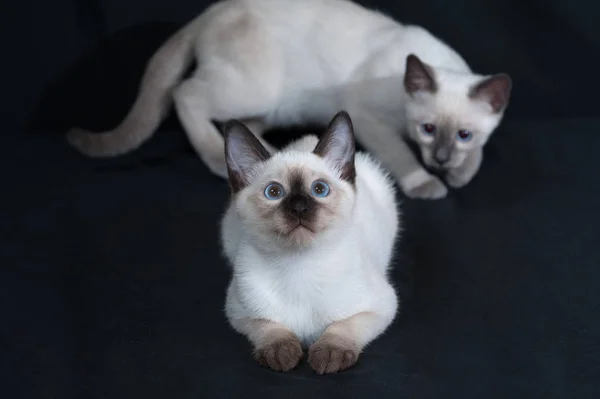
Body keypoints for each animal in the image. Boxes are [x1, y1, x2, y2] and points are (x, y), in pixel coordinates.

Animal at [69, 0, 510, 199]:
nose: (441, 159)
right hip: (254, 88)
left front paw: (461, 174)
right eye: (428, 129)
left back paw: (275, 156)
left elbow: (480, 157)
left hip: (271, 105)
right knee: (186, 93)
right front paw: (428, 183)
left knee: (243, 128)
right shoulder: (367, 117)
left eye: (465, 135)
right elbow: (399, 154)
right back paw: (216, 157)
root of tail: (210, 11)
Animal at [219, 111, 398, 374]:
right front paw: (281, 353)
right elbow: (270, 326)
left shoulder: (381, 307)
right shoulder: (238, 312)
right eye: (274, 193)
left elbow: (342, 327)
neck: (299, 265)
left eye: (319, 189)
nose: (299, 208)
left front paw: (329, 355)